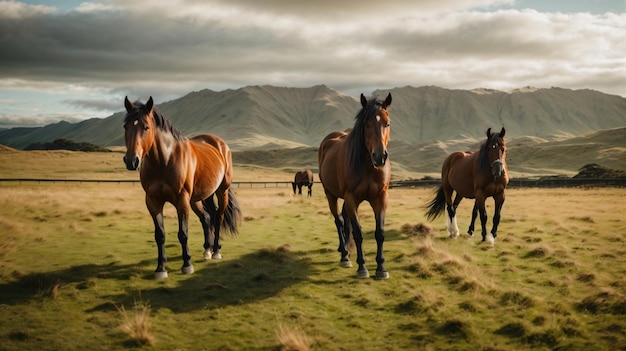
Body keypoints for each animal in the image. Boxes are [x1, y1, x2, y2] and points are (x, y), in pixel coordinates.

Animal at [123, 96, 240, 280]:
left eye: (146, 127)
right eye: (125, 126)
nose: (131, 160)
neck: (164, 161)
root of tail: (220, 144)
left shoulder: (181, 201)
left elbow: (183, 233)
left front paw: (187, 264)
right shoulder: (153, 201)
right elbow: (160, 235)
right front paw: (161, 268)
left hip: (222, 191)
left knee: (219, 217)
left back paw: (215, 251)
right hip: (200, 197)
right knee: (208, 218)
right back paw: (207, 249)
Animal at [316, 93, 390, 280]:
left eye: (387, 123)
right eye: (367, 124)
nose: (379, 156)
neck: (368, 167)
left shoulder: (381, 198)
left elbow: (379, 233)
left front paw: (381, 268)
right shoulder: (351, 198)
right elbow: (358, 233)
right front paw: (362, 267)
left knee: (344, 219)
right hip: (330, 195)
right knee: (339, 221)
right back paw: (344, 255)